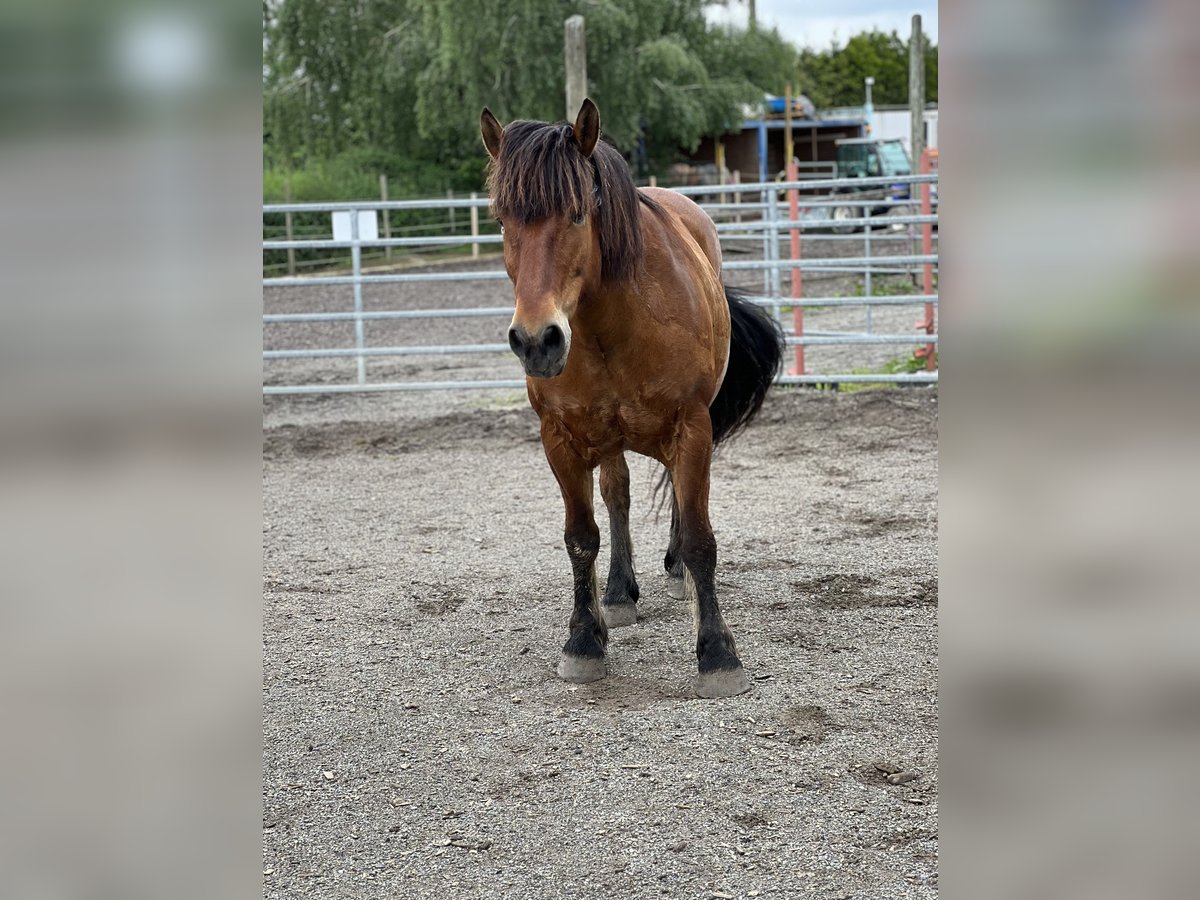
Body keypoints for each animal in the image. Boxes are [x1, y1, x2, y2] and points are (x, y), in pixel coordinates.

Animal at [482, 100, 782, 705]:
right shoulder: (561, 437)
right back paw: (619, 592)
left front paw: (718, 654)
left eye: (577, 215)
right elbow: (581, 538)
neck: (611, 324)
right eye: (502, 220)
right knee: (616, 494)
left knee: (679, 504)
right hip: (608, 437)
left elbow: (699, 536)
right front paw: (584, 641)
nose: (536, 340)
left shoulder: (692, 426)